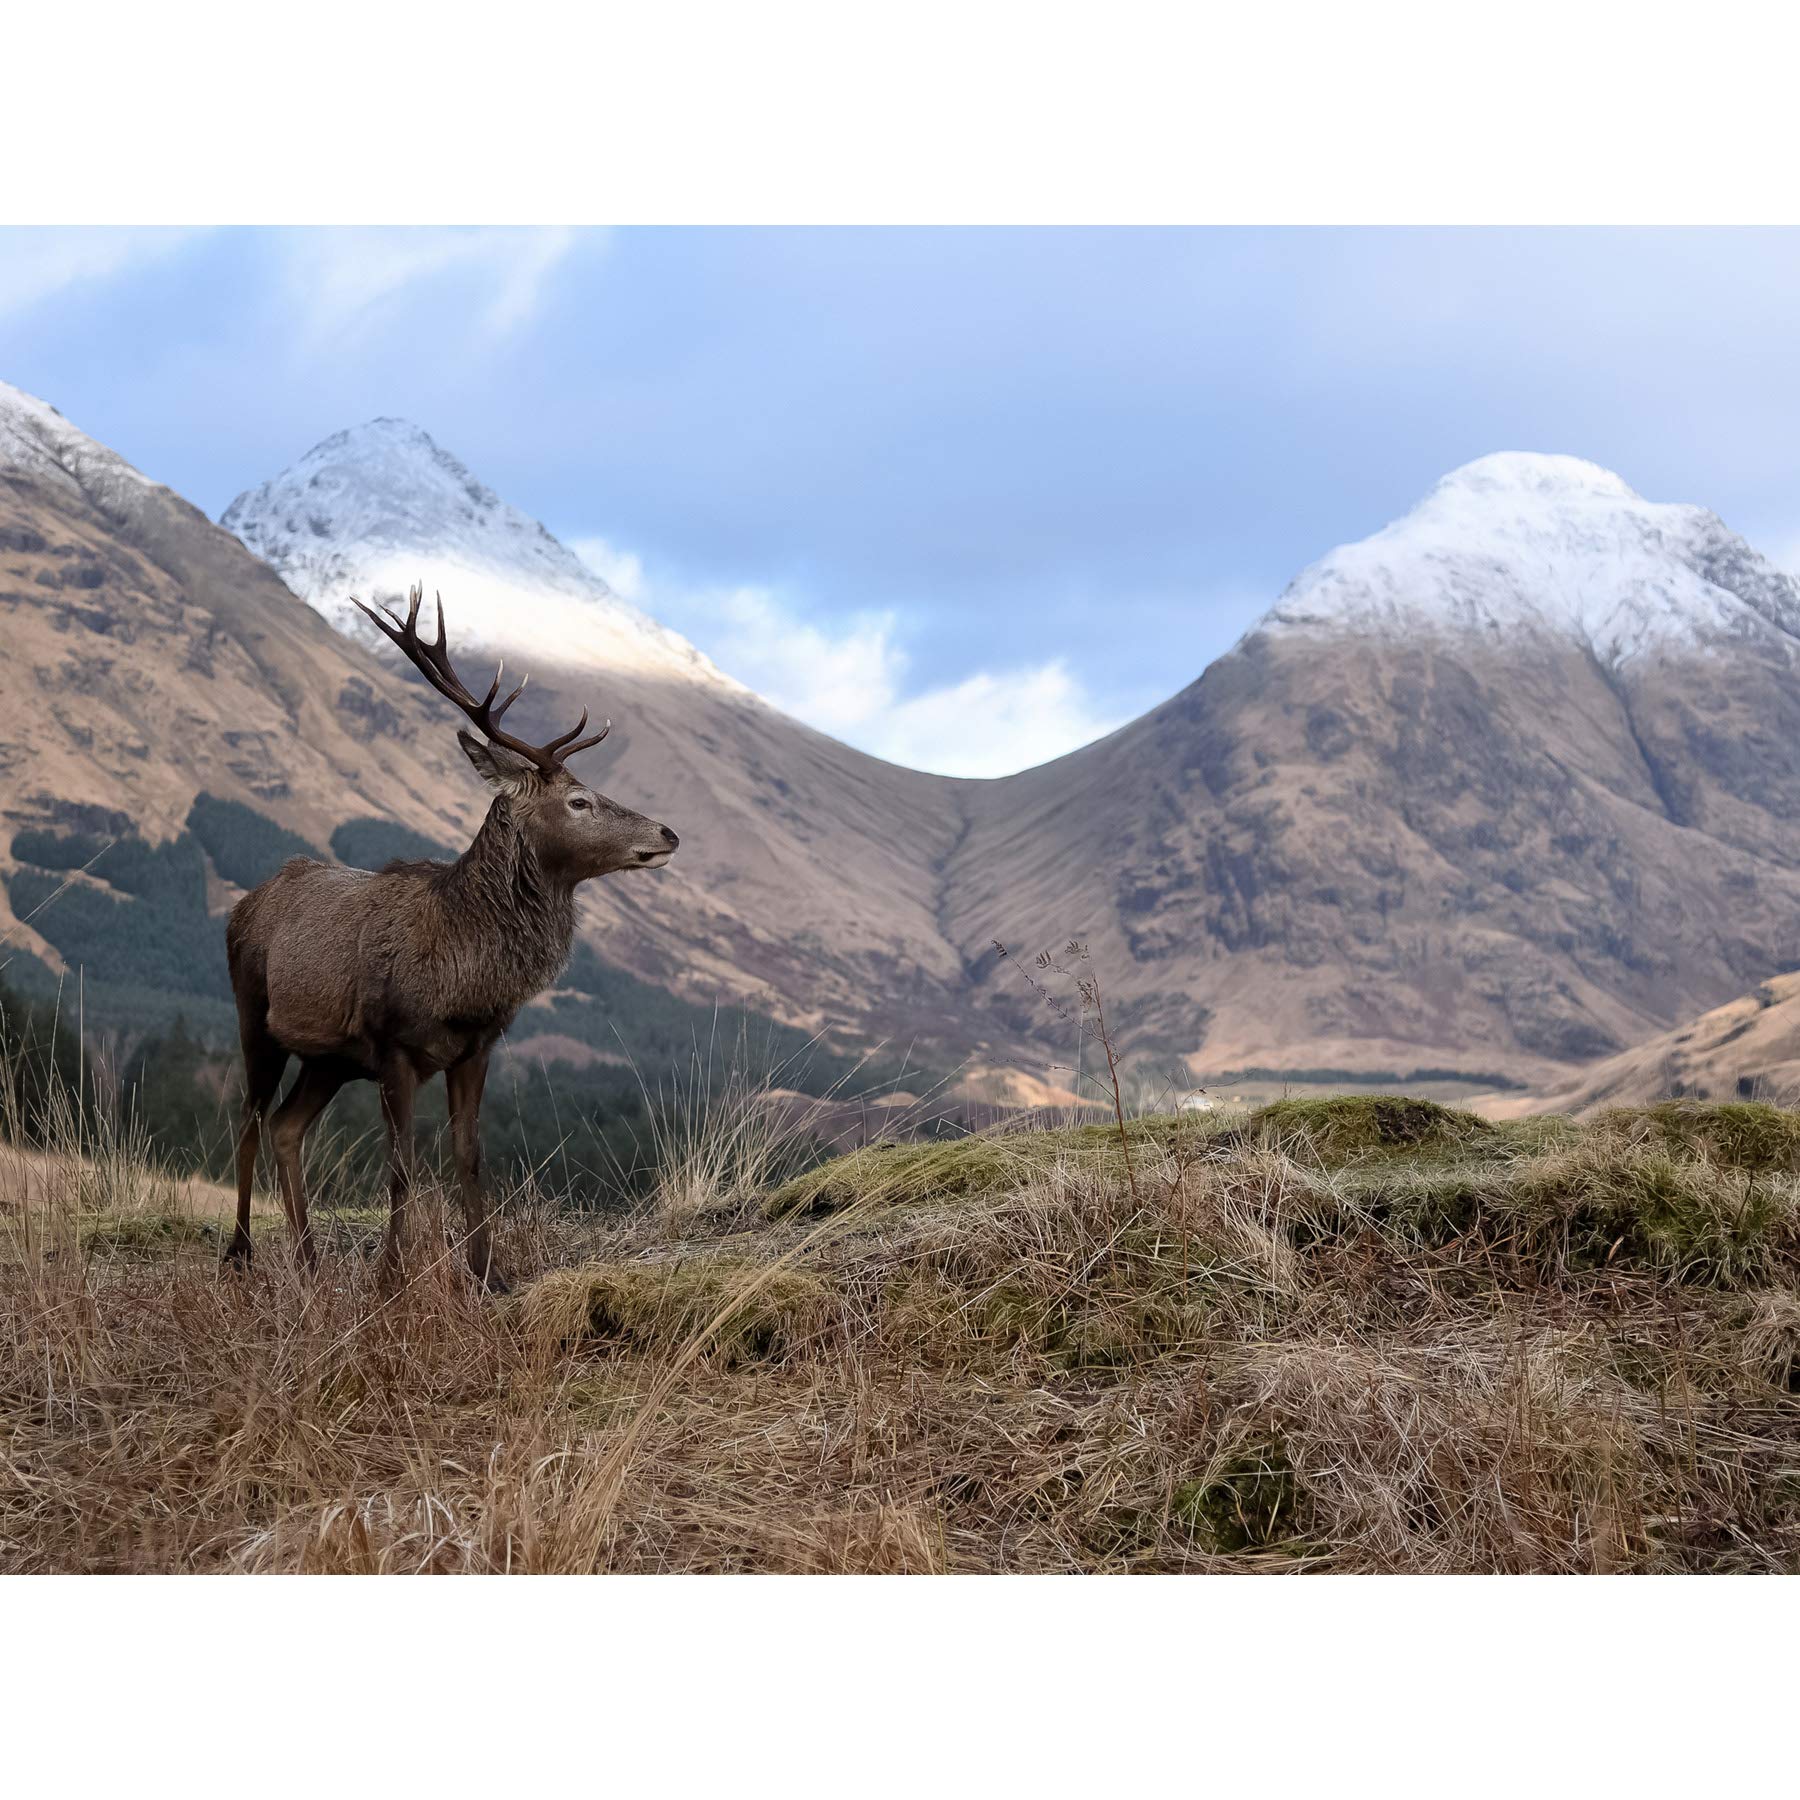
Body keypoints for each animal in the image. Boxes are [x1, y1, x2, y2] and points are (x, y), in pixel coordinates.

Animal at [224, 585, 679, 1292]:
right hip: (255, 1016)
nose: (667, 833)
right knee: (248, 1123)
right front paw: (390, 1280)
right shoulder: (393, 1048)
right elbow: (401, 1168)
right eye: (579, 801)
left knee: (285, 1127)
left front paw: (489, 1275)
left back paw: (308, 1260)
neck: (464, 970)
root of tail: (244, 906)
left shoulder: (475, 1048)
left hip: (329, 1059)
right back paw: (241, 1254)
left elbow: (470, 1157)